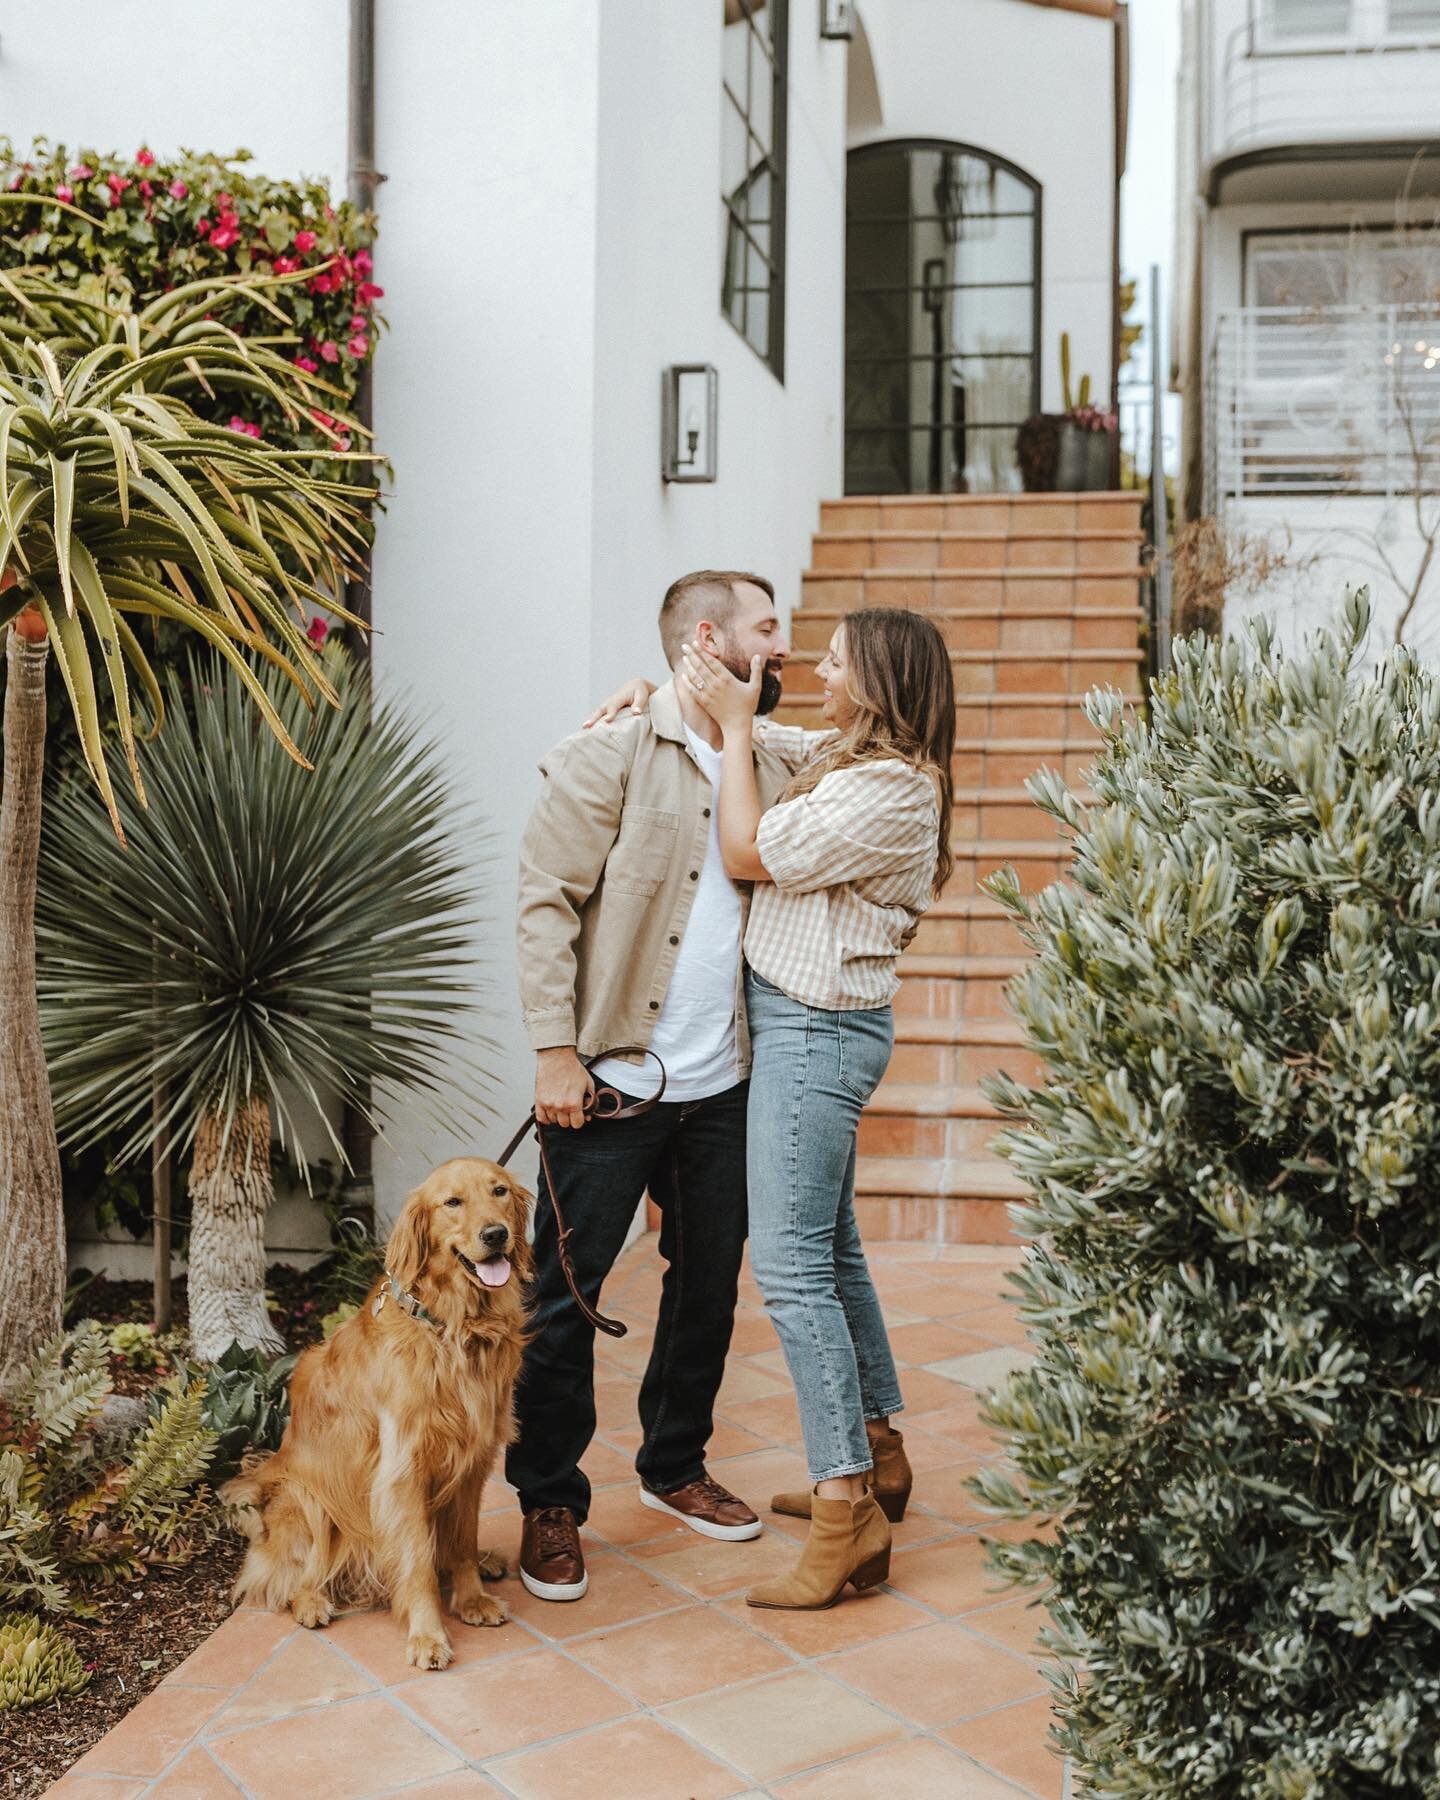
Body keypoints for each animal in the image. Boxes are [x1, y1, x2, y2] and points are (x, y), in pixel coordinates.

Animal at [227, 1159, 532, 1663]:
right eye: (452, 1202)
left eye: (499, 1191)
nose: (496, 1234)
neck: (452, 1329)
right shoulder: (403, 1472)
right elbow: (418, 1563)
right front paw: (427, 1634)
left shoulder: (473, 1461)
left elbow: (463, 1543)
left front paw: (471, 1598)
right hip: (307, 1497)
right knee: (283, 1577)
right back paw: (310, 1601)